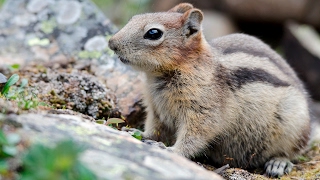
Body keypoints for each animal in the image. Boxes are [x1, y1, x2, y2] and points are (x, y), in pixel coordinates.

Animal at [109, 2, 310, 177]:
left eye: (153, 33)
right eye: (133, 18)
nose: (111, 43)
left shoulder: (202, 111)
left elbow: (194, 136)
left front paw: (170, 150)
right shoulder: (156, 110)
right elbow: (154, 129)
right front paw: (136, 133)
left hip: (293, 126)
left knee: (291, 152)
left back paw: (278, 163)